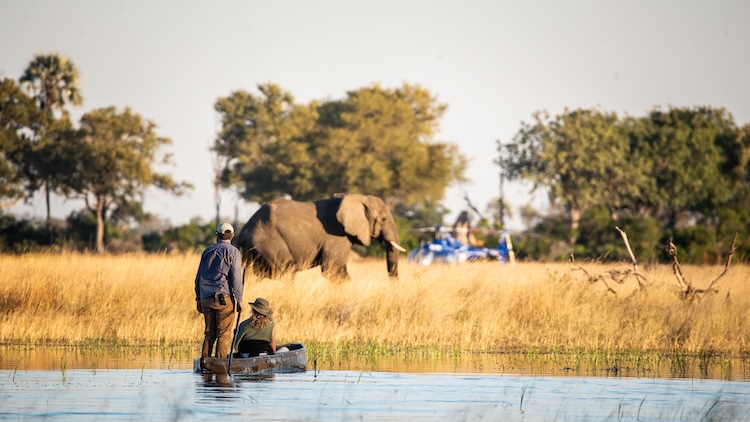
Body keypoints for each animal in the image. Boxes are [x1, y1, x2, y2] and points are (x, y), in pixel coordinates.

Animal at [235, 194, 406, 281]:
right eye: (383, 219)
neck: (356, 197)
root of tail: (244, 230)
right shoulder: (336, 236)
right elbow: (333, 269)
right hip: (270, 243)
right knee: (285, 271)